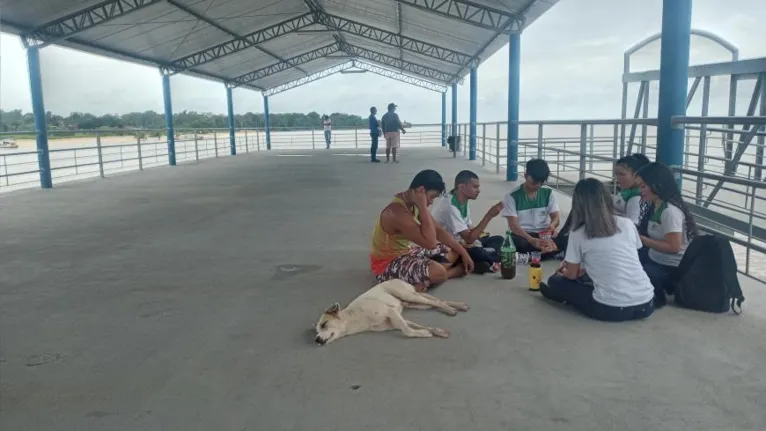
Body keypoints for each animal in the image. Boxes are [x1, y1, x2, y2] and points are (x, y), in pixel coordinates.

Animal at [316, 280, 472, 348]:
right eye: (316, 331)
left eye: (324, 324)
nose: (316, 340)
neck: (353, 318)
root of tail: (397, 279)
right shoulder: (396, 320)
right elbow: (417, 326)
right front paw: (436, 331)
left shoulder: (391, 312)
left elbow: (408, 331)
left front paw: (423, 334)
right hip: (416, 303)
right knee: (436, 301)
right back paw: (457, 305)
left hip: (408, 295)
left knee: (437, 302)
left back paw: (450, 309)